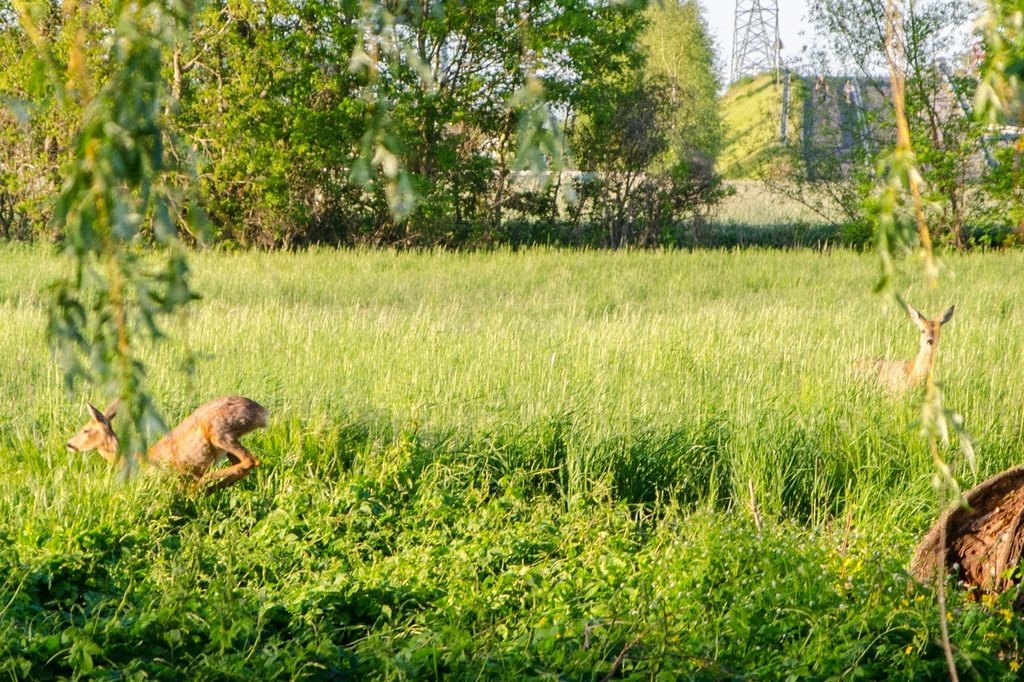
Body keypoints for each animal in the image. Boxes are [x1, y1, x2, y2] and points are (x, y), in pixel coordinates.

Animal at [67, 395, 268, 491]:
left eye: (85, 430)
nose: (69, 444)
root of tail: (262, 412)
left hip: (220, 432)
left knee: (250, 460)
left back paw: (201, 484)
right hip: (225, 443)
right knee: (244, 465)